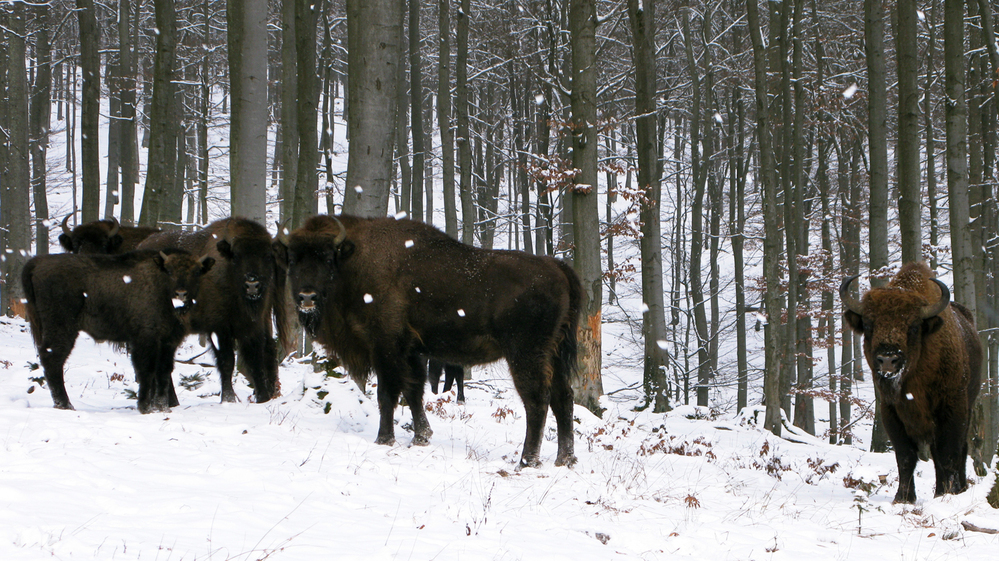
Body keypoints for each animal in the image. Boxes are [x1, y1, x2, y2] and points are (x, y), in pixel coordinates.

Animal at [22, 249, 214, 413]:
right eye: (168, 271)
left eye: (196, 272)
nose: (181, 293)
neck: (160, 285)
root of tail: (37, 262)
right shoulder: (145, 339)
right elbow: (146, 370)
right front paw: (145, 407)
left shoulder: (169, 341)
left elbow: (164, 372)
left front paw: (162, 407)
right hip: (62, 328)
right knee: (53, 359)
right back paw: (66, 405)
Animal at [138, 217, 291, 403]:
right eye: (236, 256)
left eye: (268, 256)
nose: (252, 284)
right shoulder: (219, 328)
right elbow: (227, 361)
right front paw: (228, 399)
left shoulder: (253, 325)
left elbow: (256, 358)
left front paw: (263, 397)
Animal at [278, 214, 582, 468]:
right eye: (292, 260)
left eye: (327, 259)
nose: (307, 297)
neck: (354, 260)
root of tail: (557, 267)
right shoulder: (412, 351)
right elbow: (414, 391)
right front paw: (421, 437)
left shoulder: (386, 345)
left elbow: (387, 393)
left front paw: (384, 439)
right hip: (553, 353)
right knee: (563, 398)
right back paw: (564, 459)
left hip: (525, 353)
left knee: (537, 399)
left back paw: (527, 461)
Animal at [842, 262, 982, 503]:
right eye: (868, 325)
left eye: (914, 326)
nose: (888, 359)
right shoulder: (891, 412)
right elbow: (905, 456)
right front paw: (904, 498)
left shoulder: (952, 409)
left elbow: (949, 453)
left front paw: (950, 494)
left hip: (969, 406)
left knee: (959, 449)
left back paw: (954, 489)